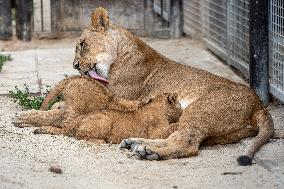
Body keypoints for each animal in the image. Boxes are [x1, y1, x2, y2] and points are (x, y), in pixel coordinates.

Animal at [71, 7, 282, 165]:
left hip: (199, 109)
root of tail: (258, 104)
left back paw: (148, 151)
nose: (75, 66)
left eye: (82, 44)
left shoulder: (118, 94)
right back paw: (136, 143)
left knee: (187, 144)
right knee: (176, 136)